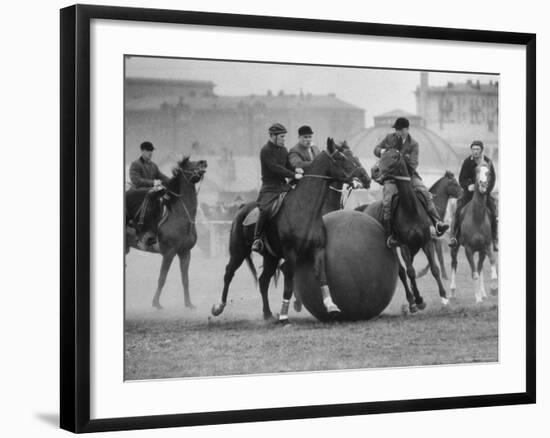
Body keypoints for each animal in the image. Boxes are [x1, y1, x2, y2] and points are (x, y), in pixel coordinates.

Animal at [126, 156, 208, 310]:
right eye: (189, 164)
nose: (203, 162)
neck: (179, 215)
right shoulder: (169, 253)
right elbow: (162, 278)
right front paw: (156, 304)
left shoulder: (185, 253)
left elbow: (185, 279)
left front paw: (189, 304)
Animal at [211, 139, 370, 324]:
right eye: (341, 158)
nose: (366, 179)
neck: (305, 208)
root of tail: (241, 208)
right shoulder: (291, 254)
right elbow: (288, 284)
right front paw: (284, 315)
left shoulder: (317, 250)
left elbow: (322, 276)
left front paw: (331, 306)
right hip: (238, 251)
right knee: (229, 273)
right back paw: (219, 307)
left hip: (270, 257)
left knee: (263, 280)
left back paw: (267, 313)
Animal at [364, 149, 450, 314]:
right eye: (381, 155)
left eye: (394, 157)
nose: (374, 170)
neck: (411, 209)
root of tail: (366, 210)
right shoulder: (403, 245)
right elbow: (410, 272)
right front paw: (418, 301)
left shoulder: (426, 242)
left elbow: (434, 269)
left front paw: (444, 297)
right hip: (394, 248)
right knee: (402, 272)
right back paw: (411, 301)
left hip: (414, 247)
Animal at [452, 163, 500, 302]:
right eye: (477, 171)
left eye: (489, 172)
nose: (482, 183)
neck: (477, 217)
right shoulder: (468, 249)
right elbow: (474, 274)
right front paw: (478, 298)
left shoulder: (486, 246)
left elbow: (490, 264)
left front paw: (492, 289)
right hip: (455, 247)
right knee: (454, 264)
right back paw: (452, 292)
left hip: (480, 250)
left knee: (480, 268)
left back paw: (483, 292)